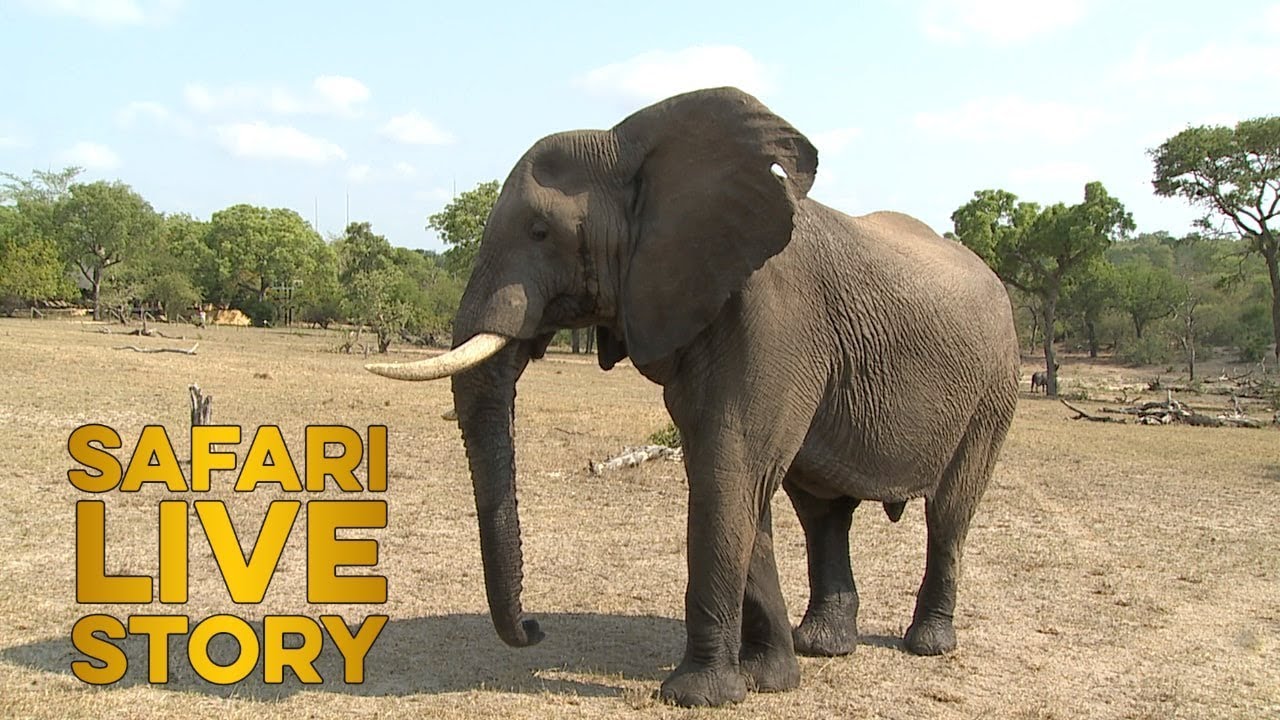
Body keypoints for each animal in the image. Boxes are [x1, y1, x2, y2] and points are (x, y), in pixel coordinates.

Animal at [366, 87, 1019, 707]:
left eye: (540, 231)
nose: (533, 628)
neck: (631, 147)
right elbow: (736, 481)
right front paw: (766, 681)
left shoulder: (776, 315)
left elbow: (730, 470)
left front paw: (696, 695)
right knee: (822, 511)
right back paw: (822, 647)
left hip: (995, 388)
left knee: (949, 511)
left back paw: (927, 644)